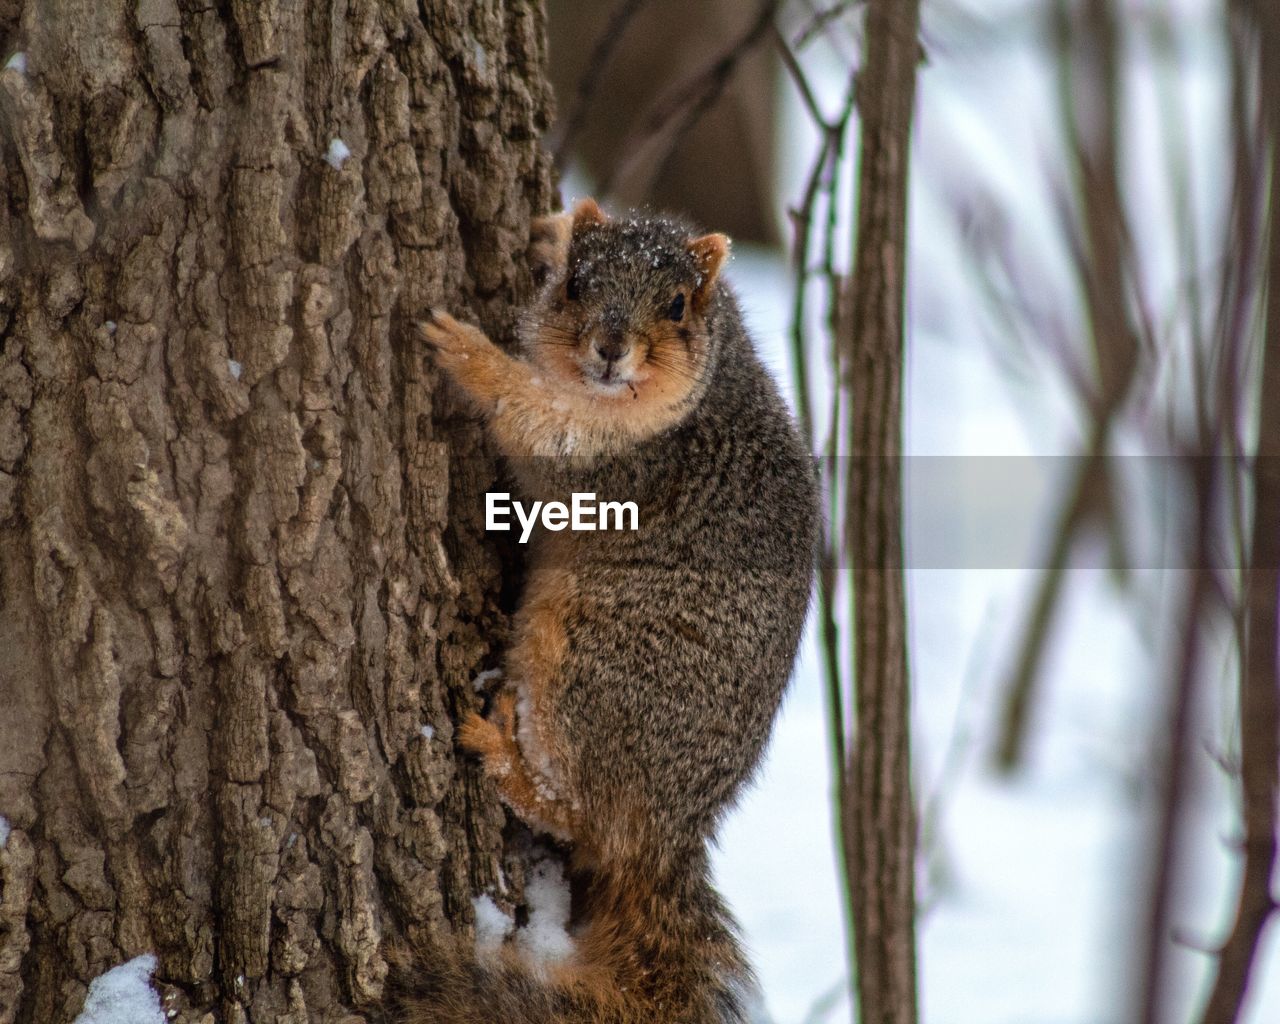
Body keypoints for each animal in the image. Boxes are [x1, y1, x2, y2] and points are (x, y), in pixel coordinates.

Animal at [409, 199, 819, 1024]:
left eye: (677, 305)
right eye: (574, 284)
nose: (609, 348)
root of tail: (663, 838)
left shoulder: (619, 466)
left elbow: (540, 427)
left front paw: (468, 352)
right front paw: (554, 222)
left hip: (586, 669)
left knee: (572, 811)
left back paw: (499, 753)